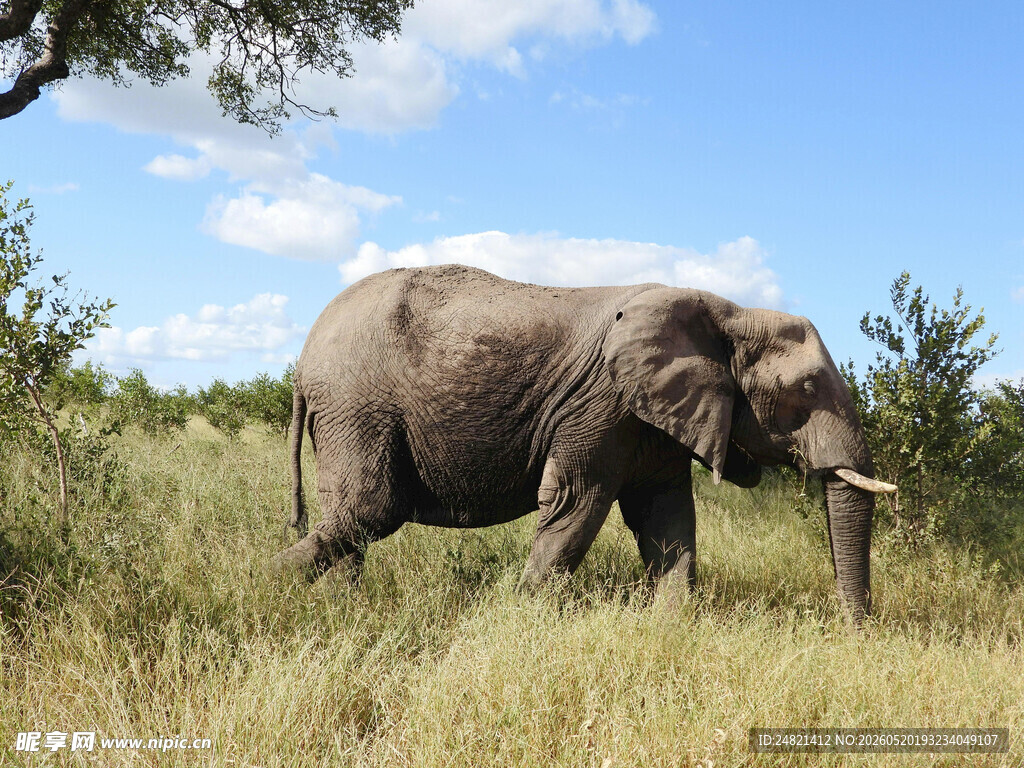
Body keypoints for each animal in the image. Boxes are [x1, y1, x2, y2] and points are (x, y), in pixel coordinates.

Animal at [275, 264, 895, 623]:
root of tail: (304, 357)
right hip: (358, 404)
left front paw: (671, 627)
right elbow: (577, 502)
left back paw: (342, 605)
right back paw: (263, 579)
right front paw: (523, 616)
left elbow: (667, 516)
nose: (854, 634)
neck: (729, 311)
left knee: (352, 516)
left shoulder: (655, 420)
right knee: (371, 508)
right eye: (806, 390)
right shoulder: (602, 407)